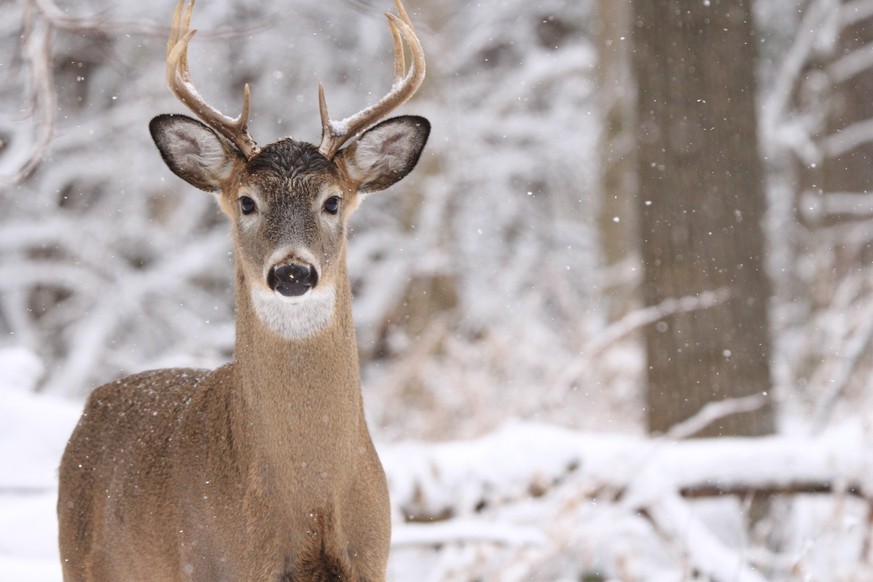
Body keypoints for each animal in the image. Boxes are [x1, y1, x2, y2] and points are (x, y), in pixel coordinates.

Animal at [55, 1, 430, 582]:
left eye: (333, 201)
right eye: (247, 202)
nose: (292, 273)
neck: (312, 504)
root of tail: (93, 404)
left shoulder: (373, 560)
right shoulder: (214, 565)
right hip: (79, 561)